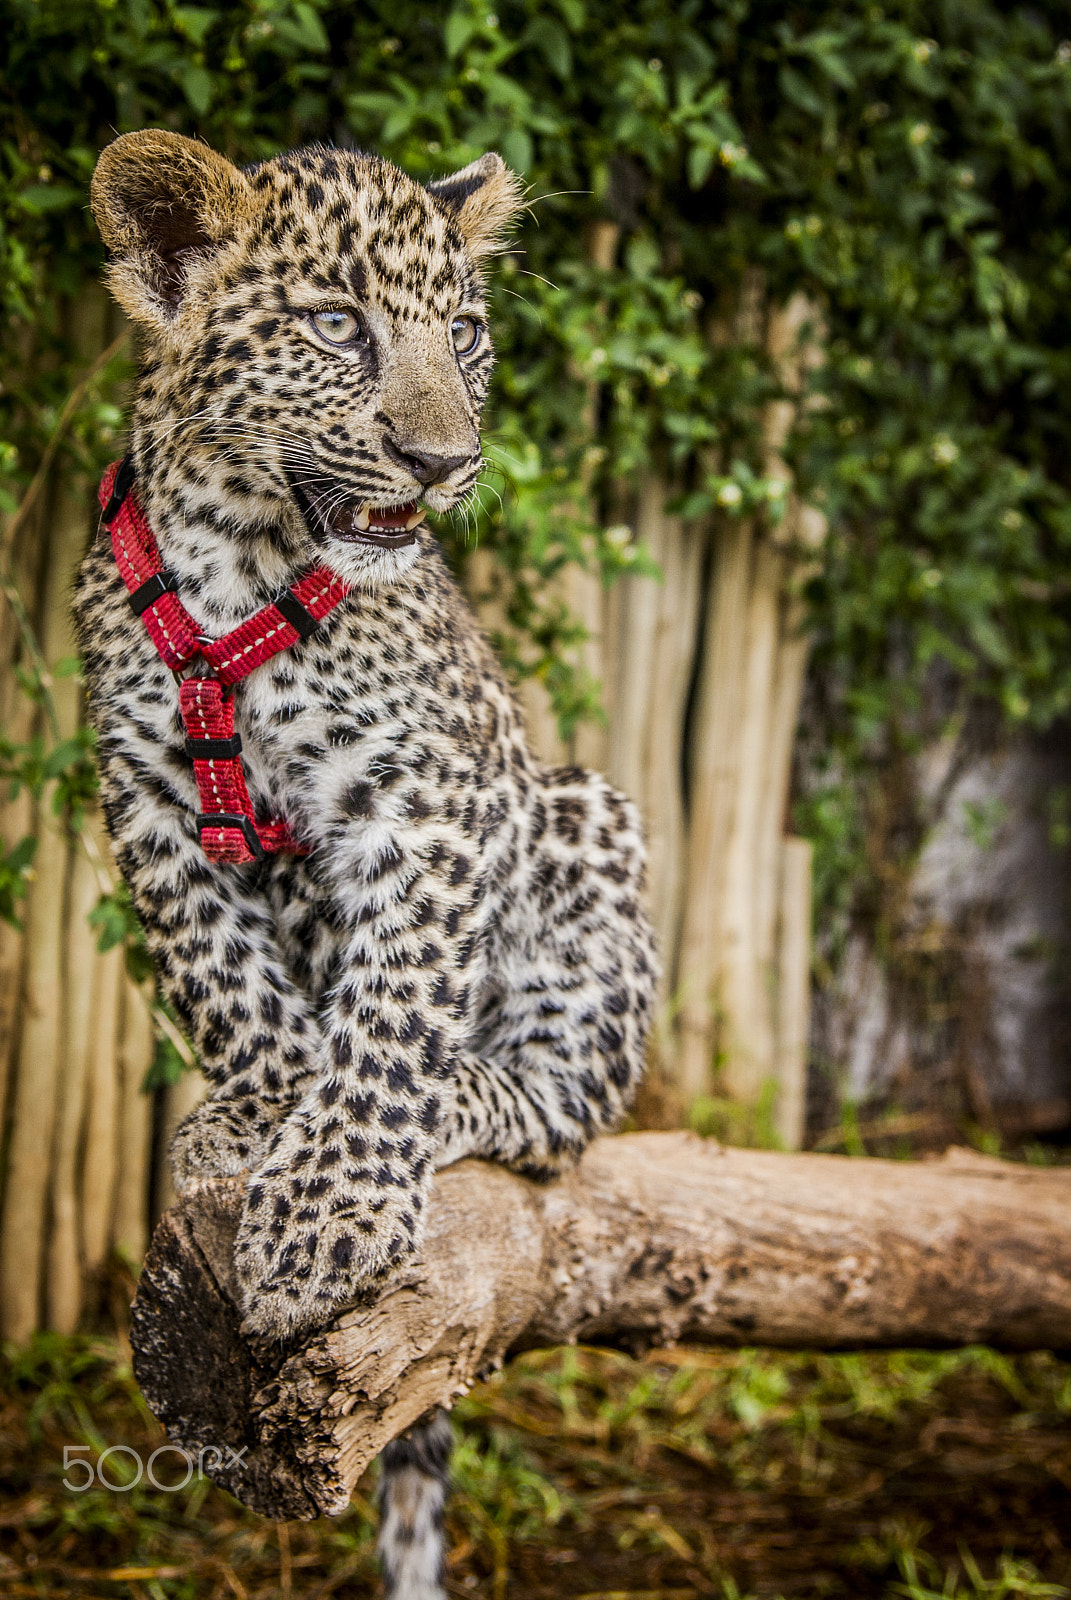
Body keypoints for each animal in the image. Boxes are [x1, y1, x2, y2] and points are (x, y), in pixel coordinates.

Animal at [76, 130, 657, 1599]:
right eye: (336, 327)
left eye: (464, 334)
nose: (443, 461)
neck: (236, 562)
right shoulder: (150, 807)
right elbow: (231, 992)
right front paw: (261, 1113)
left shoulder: (430, 804)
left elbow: (390, 1020)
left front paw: (326, 1204)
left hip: (582, 816)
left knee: (557, 1108)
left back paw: (469, 1093)